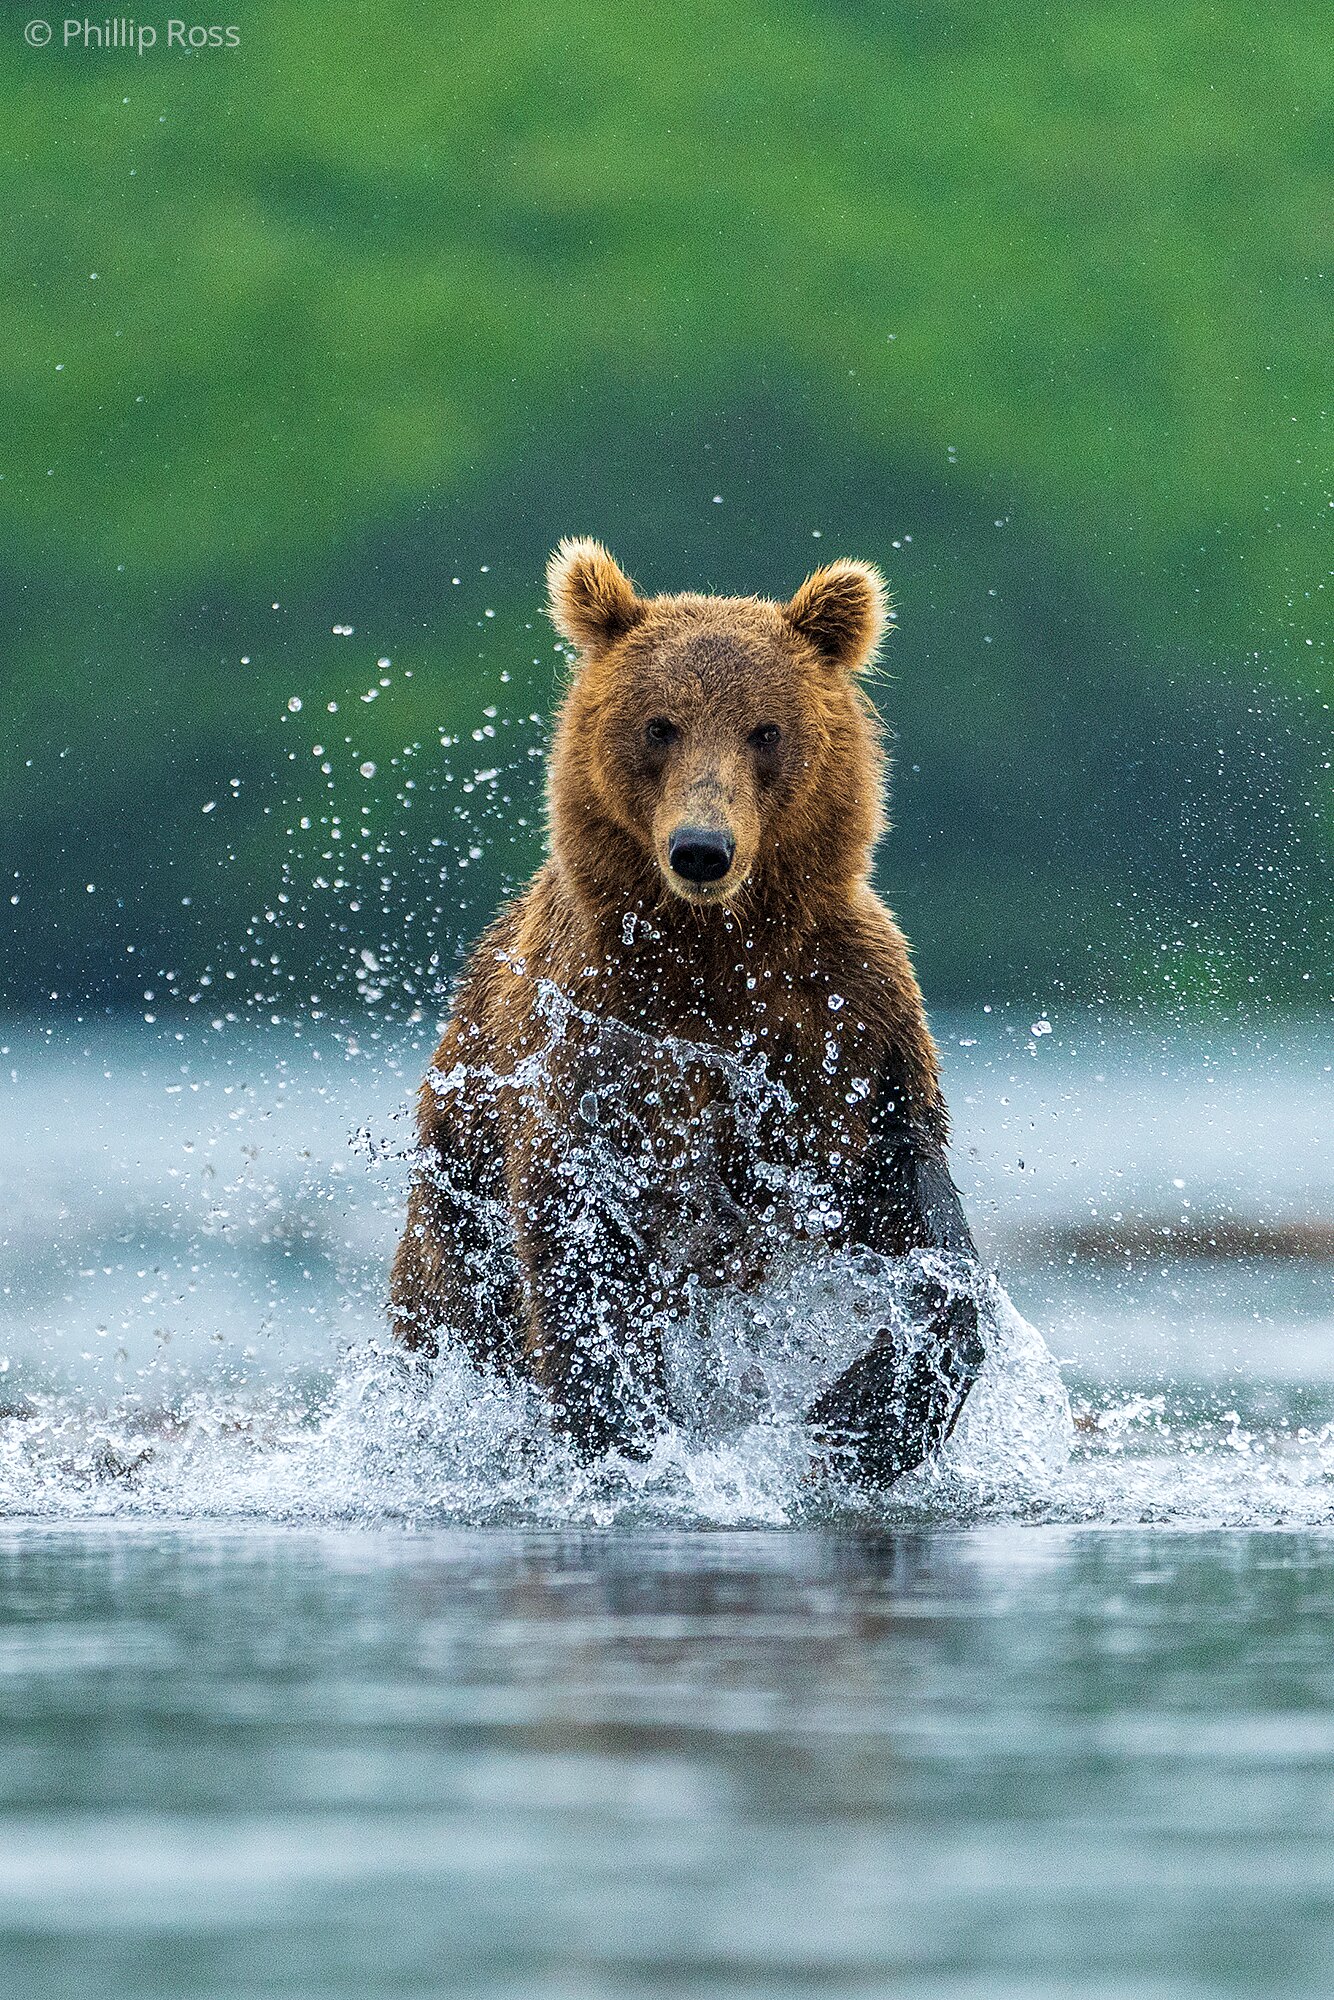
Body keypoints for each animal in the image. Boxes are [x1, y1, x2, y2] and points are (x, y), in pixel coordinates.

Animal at [389, 538, 986, 1487]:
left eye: (765, 729)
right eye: (658, 725)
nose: (702, 848)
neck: (714, 953)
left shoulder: (843, 1020)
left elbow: (919, 1211)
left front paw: (857, 1417)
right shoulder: (600, 1035)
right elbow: (579, 1245)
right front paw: (628, 1434)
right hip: (452, 1204)